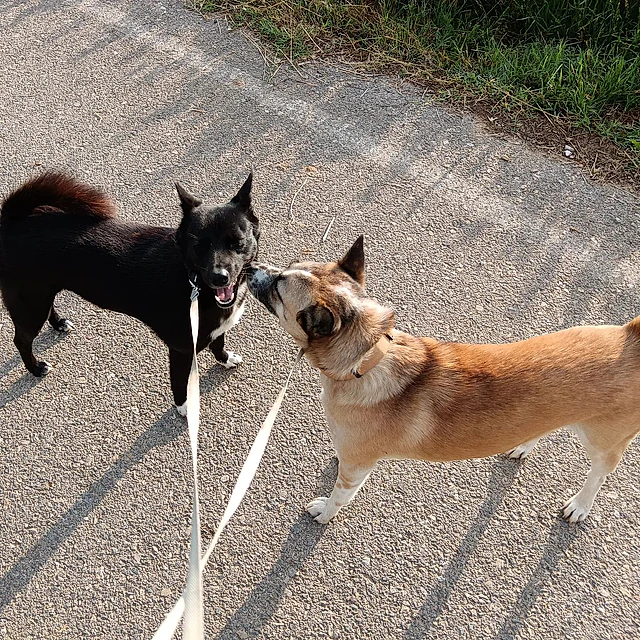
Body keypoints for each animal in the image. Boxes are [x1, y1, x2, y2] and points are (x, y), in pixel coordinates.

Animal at [1, 171, 260, 410]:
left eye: (237, 242)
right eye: (199, 245)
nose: (219, 277)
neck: (192, 280)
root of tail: (11, 222)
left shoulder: (217, 329)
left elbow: (218, 344)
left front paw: (225, 359)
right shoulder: (181, 351)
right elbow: (179, 383)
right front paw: (184, 407)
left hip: (41, 295)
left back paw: (58, 323)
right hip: (30, 305)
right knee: (21, 340)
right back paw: (36, 368)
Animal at [246, 238, 640, 524]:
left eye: (279, 288)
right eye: (287, 267)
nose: (249, 266)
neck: (368, 357)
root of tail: (629, 336)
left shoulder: (355, 467)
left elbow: (339, 496)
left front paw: (325, 512)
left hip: (604, 442)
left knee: (600, 472)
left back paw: (580, 505)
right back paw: (522, 445)